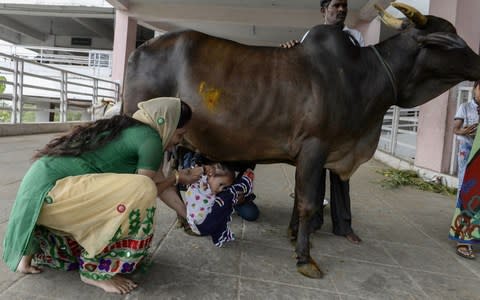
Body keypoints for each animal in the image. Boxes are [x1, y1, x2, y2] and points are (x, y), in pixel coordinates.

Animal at [123, 2, 480, 278]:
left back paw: (184, 224)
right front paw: (305, 257)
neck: (363, 76)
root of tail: (139, 50)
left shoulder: (312, 157)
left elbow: (300, 200)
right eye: (451, 40)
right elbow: (309, 202)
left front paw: (294, 235)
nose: (479, 61)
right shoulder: (315, 148)